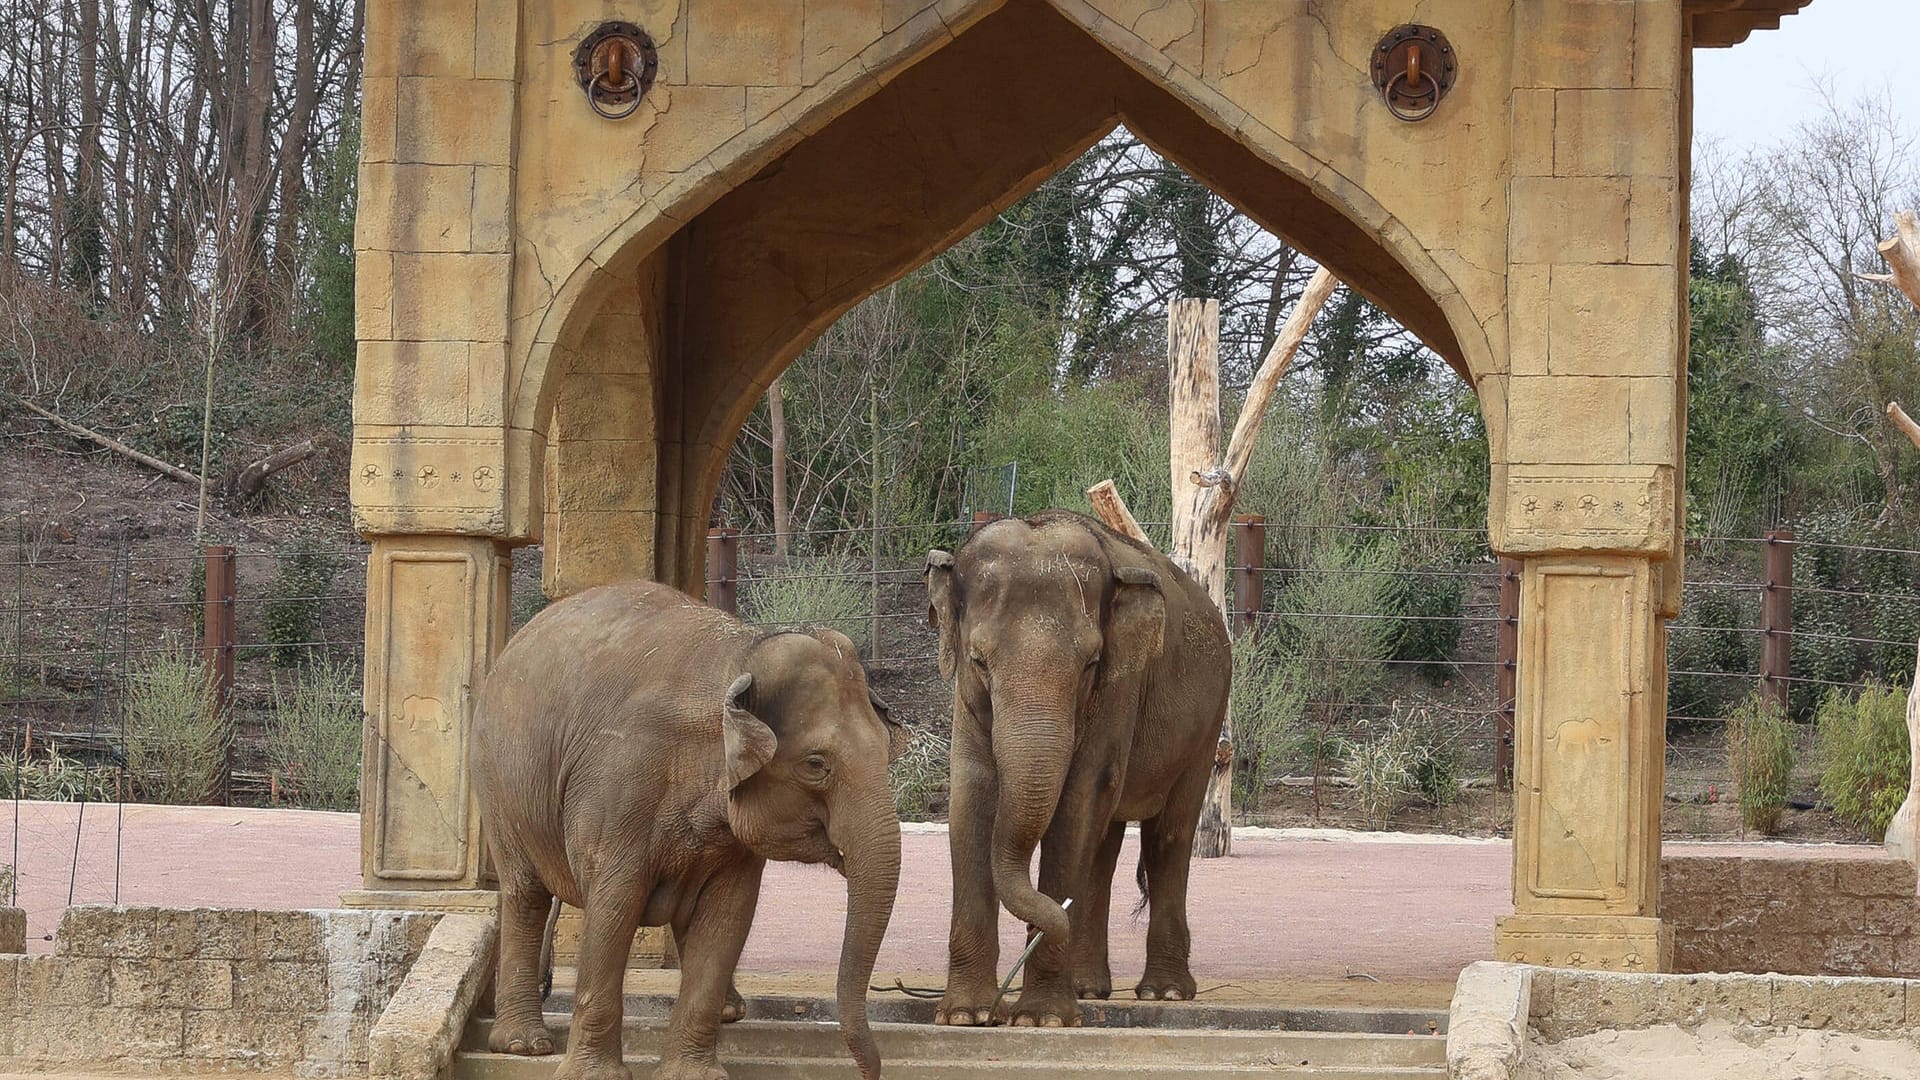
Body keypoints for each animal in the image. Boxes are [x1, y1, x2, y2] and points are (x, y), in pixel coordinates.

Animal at [472, 580, 906, 1076]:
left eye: (887, 750)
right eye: (817, 765)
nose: (869, 1072)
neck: (742, 654)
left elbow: (728, 917)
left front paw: (693, 1074)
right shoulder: (618, 788)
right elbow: (614, 906)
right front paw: (594, 1075)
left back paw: (731, 1011)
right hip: (497, 783)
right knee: (525, 895)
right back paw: (523, 1045)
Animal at [925, 507, 1228, 1022]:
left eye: (1091, 663)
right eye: (978, 661)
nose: (1043, 927)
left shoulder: (1120, 684)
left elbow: (1081, 795)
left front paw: (1041, 1017)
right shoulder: (965, 697)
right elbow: (971, 795)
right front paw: (965, 1015)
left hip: (1207, 726)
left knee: (1169, 836)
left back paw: (1163, 993)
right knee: (1104, 849)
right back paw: (1088, 989)